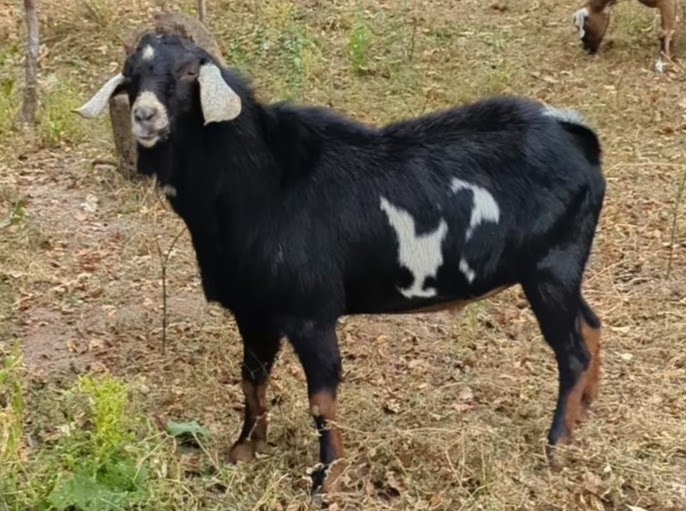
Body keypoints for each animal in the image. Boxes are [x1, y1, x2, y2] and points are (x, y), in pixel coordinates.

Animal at [75, 32, 606, 494]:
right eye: (131, 74)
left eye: (189, 72)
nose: (145, 116)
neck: (260, 181)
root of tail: (575, 135)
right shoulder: (254, 311)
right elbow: (251, 380)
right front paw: (244, 448)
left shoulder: (311, 312)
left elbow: (321, 400)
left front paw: (325, 479)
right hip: (561, 268)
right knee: (590, 325)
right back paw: (584, 410)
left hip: (551, 267)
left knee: (572, 351)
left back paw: (556, 446)